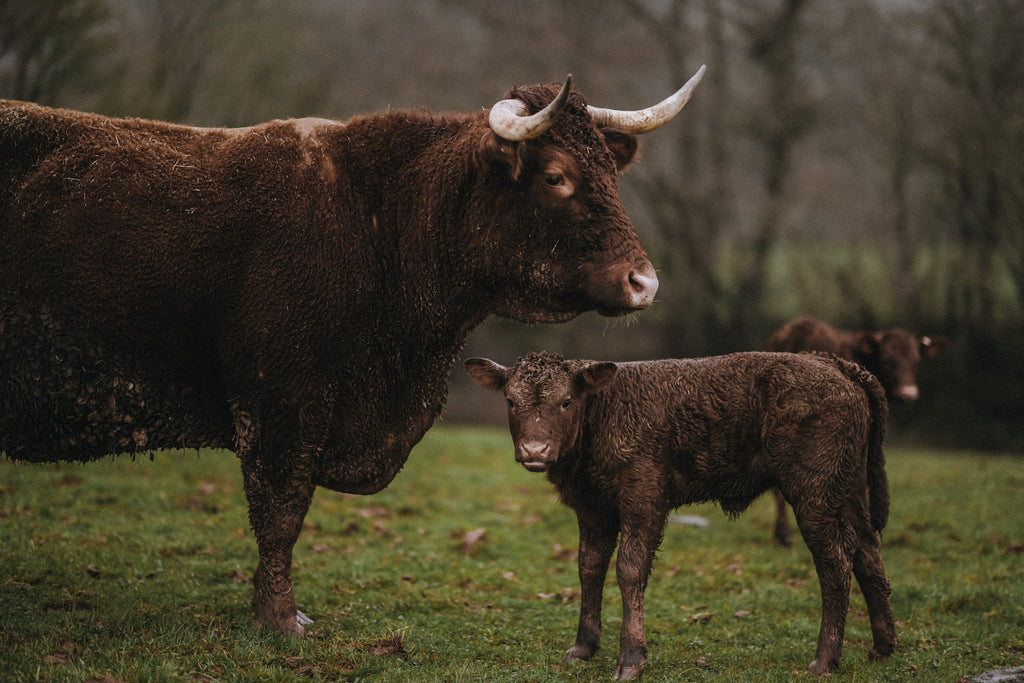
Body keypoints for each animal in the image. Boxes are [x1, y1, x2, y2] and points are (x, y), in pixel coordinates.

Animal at [0, 66, 704, 638]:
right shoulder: (280, 401)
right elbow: (281, 511)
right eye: (557, 176)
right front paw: (281, 618)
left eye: (611, 173)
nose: (644, 282)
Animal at [466, 352, 897, 679]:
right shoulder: (592, 508)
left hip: (814, 492)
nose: (535, 450)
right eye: (511, 401)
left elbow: (629, 569)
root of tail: (835, 364)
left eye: (566, 401)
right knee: (867, 551)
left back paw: (824, 660)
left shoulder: (644, 499)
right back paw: (883, 646)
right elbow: (589, 566)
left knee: (835, 561)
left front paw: (631, 660)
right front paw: (582, 648)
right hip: (848, 489)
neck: (603, 415)